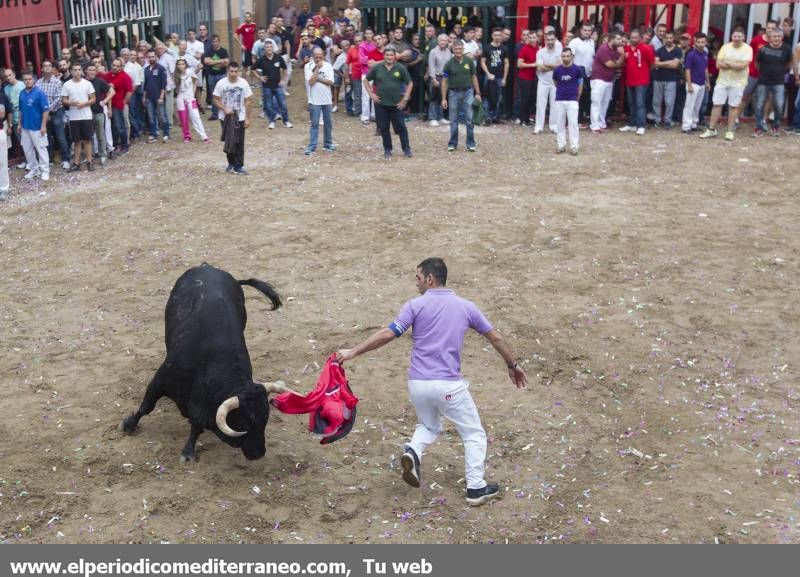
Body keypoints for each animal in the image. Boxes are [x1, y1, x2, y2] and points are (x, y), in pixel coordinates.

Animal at [120, 264, 290, 462]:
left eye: (265, 420)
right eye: (244, 422)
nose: (258, 454)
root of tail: (207, 266)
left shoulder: (203, 405)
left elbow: (196, 425)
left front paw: (188, 451)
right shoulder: (160, 380)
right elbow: (146, 406)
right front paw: (128, 424)